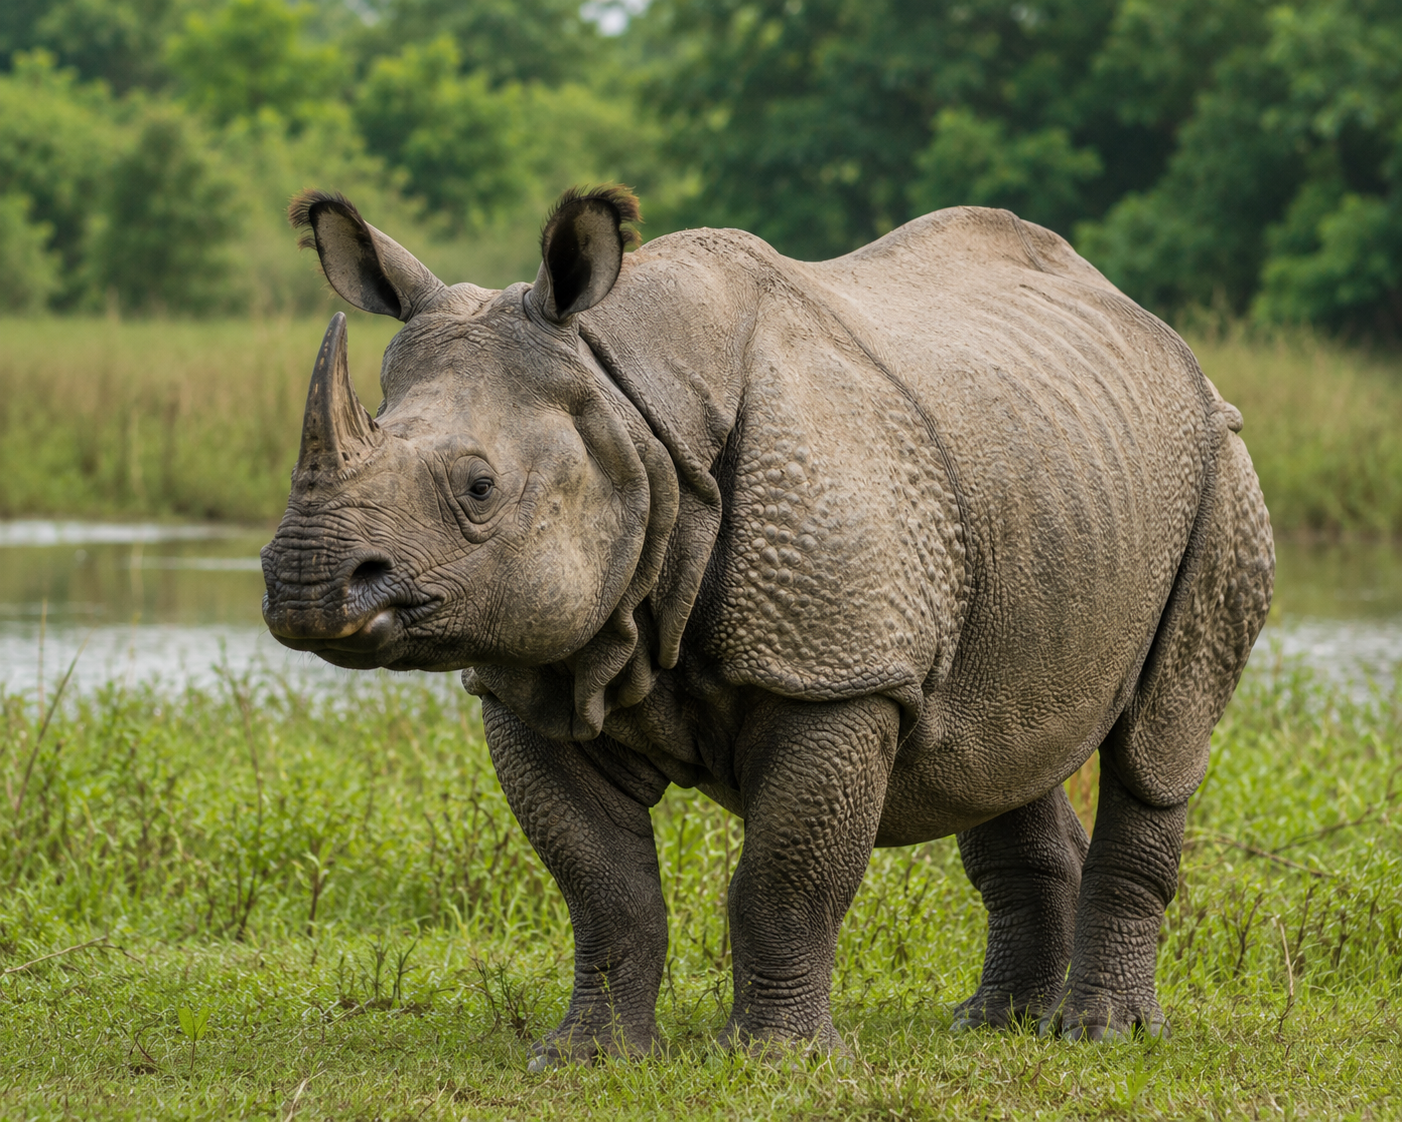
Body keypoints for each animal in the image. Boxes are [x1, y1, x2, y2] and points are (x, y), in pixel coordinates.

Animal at [262, 186, 1273, 1063]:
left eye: (478, 488)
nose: (307, 586)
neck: (629, 413)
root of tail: (1155, 329)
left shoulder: (839, 674)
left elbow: (785, 879)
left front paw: (778, 1060)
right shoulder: (536, 673)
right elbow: (602, 888)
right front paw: (587, 1058)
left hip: (1218, 465)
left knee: (1156, 745)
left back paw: (1103, 1035)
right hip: (1042, 472)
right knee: (993, 744)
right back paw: (995, 1025)